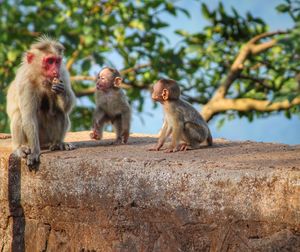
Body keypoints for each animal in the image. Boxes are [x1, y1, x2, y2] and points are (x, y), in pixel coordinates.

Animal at [6, 35, 76, 165]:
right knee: (19, 114)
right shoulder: (25, 83)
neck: (41, 77)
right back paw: (19, 147)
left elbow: (67, 107)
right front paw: (34, 152)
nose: (55, 71)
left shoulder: (63, 74)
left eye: (57, 61)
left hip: (48, 136)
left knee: (60, 112)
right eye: (49, 61)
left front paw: (60, 90)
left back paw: (58, 143)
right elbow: (29, 117)